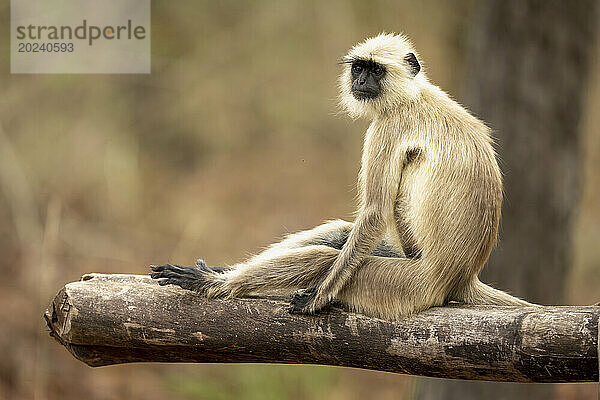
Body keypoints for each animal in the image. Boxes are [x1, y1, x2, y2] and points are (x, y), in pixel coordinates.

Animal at [151, 32, 536, 320]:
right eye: (359, 68)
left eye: (376, 71)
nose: (361, 80)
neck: (413, 95)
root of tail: (460, 277)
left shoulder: (388, 126)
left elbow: (375, 213)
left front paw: (317, 298)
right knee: (337, 234)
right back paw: (221, 273)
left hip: (407, 285)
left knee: (324, 258)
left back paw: (216, 284)